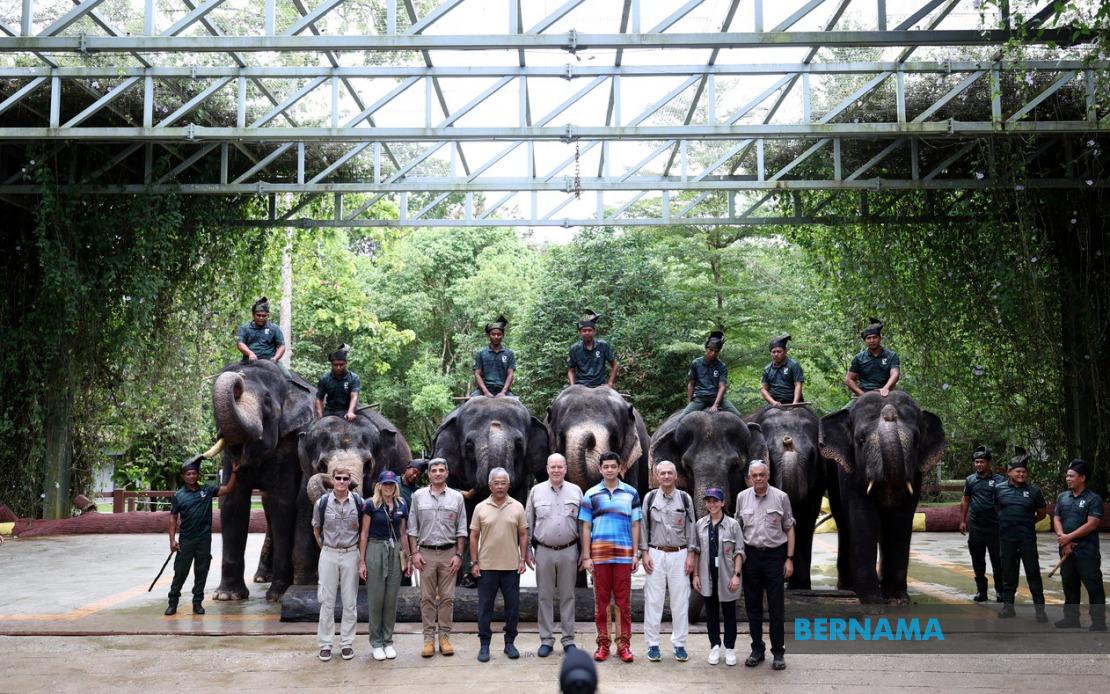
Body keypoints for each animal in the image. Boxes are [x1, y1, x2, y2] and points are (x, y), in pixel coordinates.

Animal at [206, 359, 313, 599]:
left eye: (266, 400)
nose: (239, 377)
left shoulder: (290, 443)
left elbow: (282, 503)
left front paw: (278, 594)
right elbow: (232, 503)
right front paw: (227, 596)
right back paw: (262, 577)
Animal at [745, 406, 834, 590]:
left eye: (813, 454)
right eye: (769, 454)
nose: (787, 440)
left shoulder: (819, 482)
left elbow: (807, 518)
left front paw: (800, 586)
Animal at [816, 390, 945, 599]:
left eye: (916, 440)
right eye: (860, 440)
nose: (889, 412)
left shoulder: (916, 474)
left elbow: (901, 519)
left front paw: (897, 599)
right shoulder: (850, 474)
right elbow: (863, 517)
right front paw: (870, 599)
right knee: (843, 522)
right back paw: (847, 587)